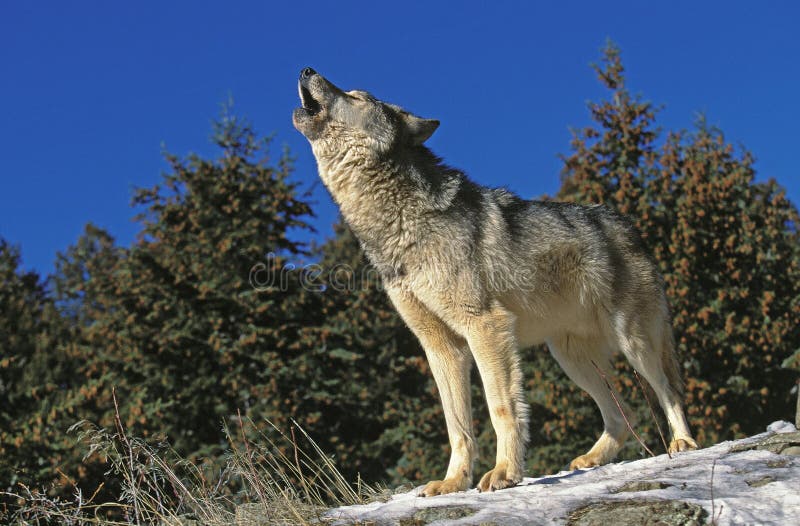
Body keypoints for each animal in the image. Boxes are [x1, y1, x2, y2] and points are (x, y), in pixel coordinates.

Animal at [290, 68, 696, 498]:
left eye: (357, 96)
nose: (306, 69)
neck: (396, 222)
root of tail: (629, 227)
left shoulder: (485, 326)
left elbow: (501, 408)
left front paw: (505, 473)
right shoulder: (441, 347)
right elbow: (457, 426)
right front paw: (453, 482)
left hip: (633, 342)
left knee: (669, 390)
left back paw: (682, 443)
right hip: (570, 358)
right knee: (624, 411)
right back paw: (592, 459)